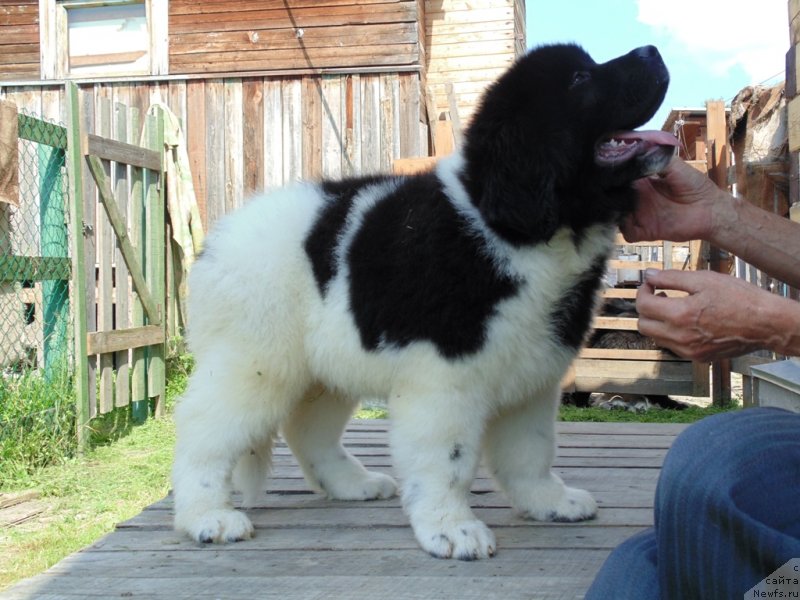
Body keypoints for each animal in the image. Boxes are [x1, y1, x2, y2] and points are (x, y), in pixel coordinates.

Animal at [173, 44, 676, 560]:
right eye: (580, 78)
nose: (653, 51)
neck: (516, 231)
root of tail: (215, 242)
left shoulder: (532, 374)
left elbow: (530, 449)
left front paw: (548, 502)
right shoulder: (442, 375)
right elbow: (446, 457)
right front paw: (451, 527)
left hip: (324, 367)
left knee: (307, 430)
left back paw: (351, 484)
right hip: (253, 362)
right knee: (202, 430)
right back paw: (206, 517)